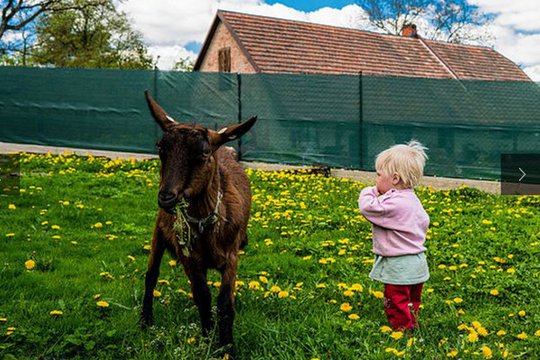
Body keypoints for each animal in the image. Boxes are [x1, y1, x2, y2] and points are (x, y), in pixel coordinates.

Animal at [140, 90, 256, 358]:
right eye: (161, 148)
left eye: (203, 152)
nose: (167, 197)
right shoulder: (190, 258)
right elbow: (202, 297)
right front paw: (208, 337)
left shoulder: (232, 255)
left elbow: (224, 304)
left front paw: (226, 347)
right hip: (158, 231)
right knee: (151, 275)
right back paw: (145, 321)